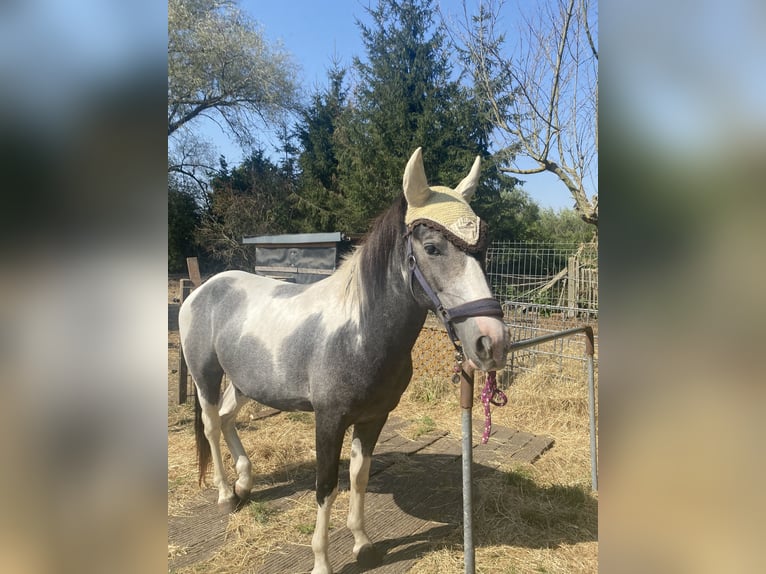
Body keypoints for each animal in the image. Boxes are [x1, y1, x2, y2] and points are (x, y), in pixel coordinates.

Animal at [180, 150, 510, 574]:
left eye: (482, 248)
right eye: (433, 247)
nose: (492, 341)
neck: (358, 331)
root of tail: (203, 288)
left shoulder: (374, 418)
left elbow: (358, 477)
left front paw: (363, 544)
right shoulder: (329, 419)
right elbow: (326, 487)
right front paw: (322, 561)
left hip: (243, 383)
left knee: (225, 419)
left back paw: (244, 483)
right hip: (206, 376)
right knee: (210, 424)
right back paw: (225, 494)